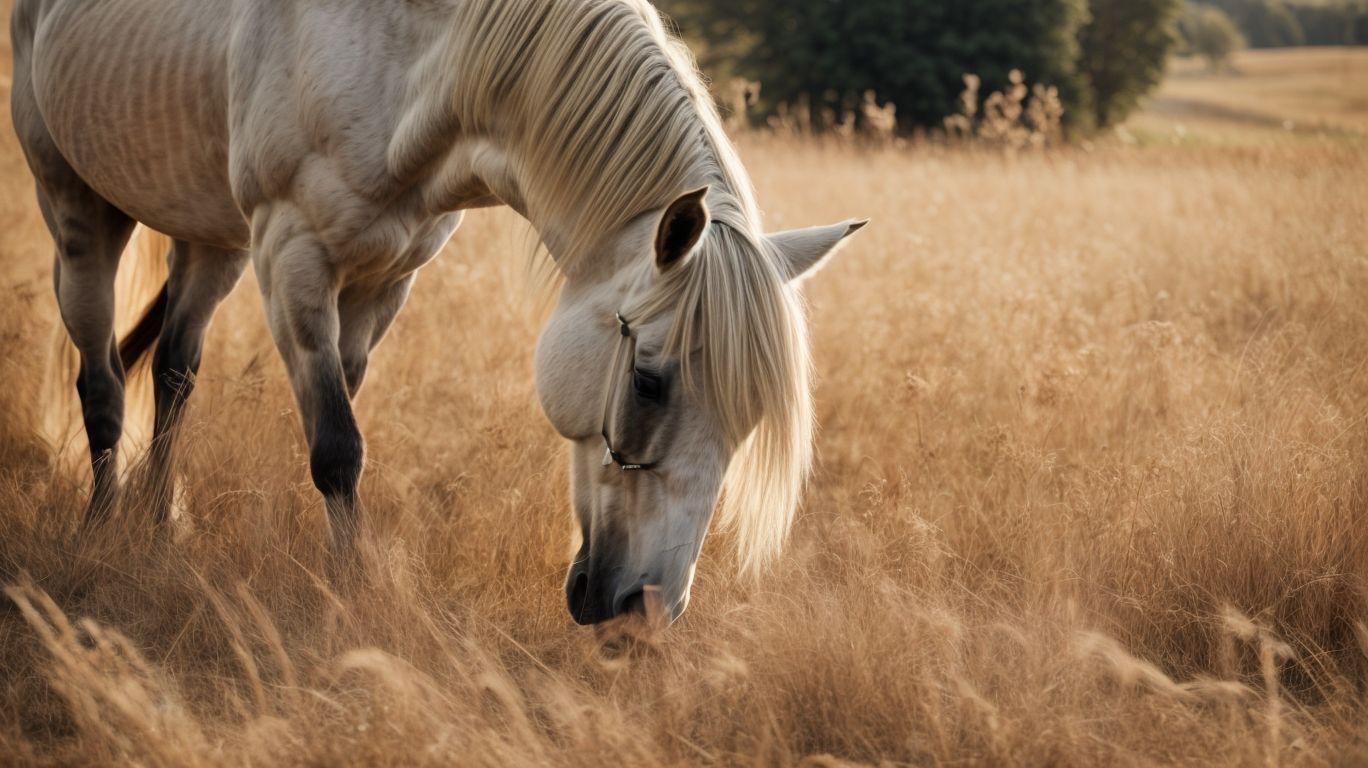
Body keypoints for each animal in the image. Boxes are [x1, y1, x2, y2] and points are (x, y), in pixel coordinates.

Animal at [10, 0, 865, 625]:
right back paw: (101, 530)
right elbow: (336, 448)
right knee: (100, 383)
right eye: (649, 382)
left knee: (175, 372)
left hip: (210, 240)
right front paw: (351, 593)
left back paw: (158, 530)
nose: (646, 609)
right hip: (78, 214)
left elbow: (339, 422)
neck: (421, 64)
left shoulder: (386, 279)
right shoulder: (291, 256)